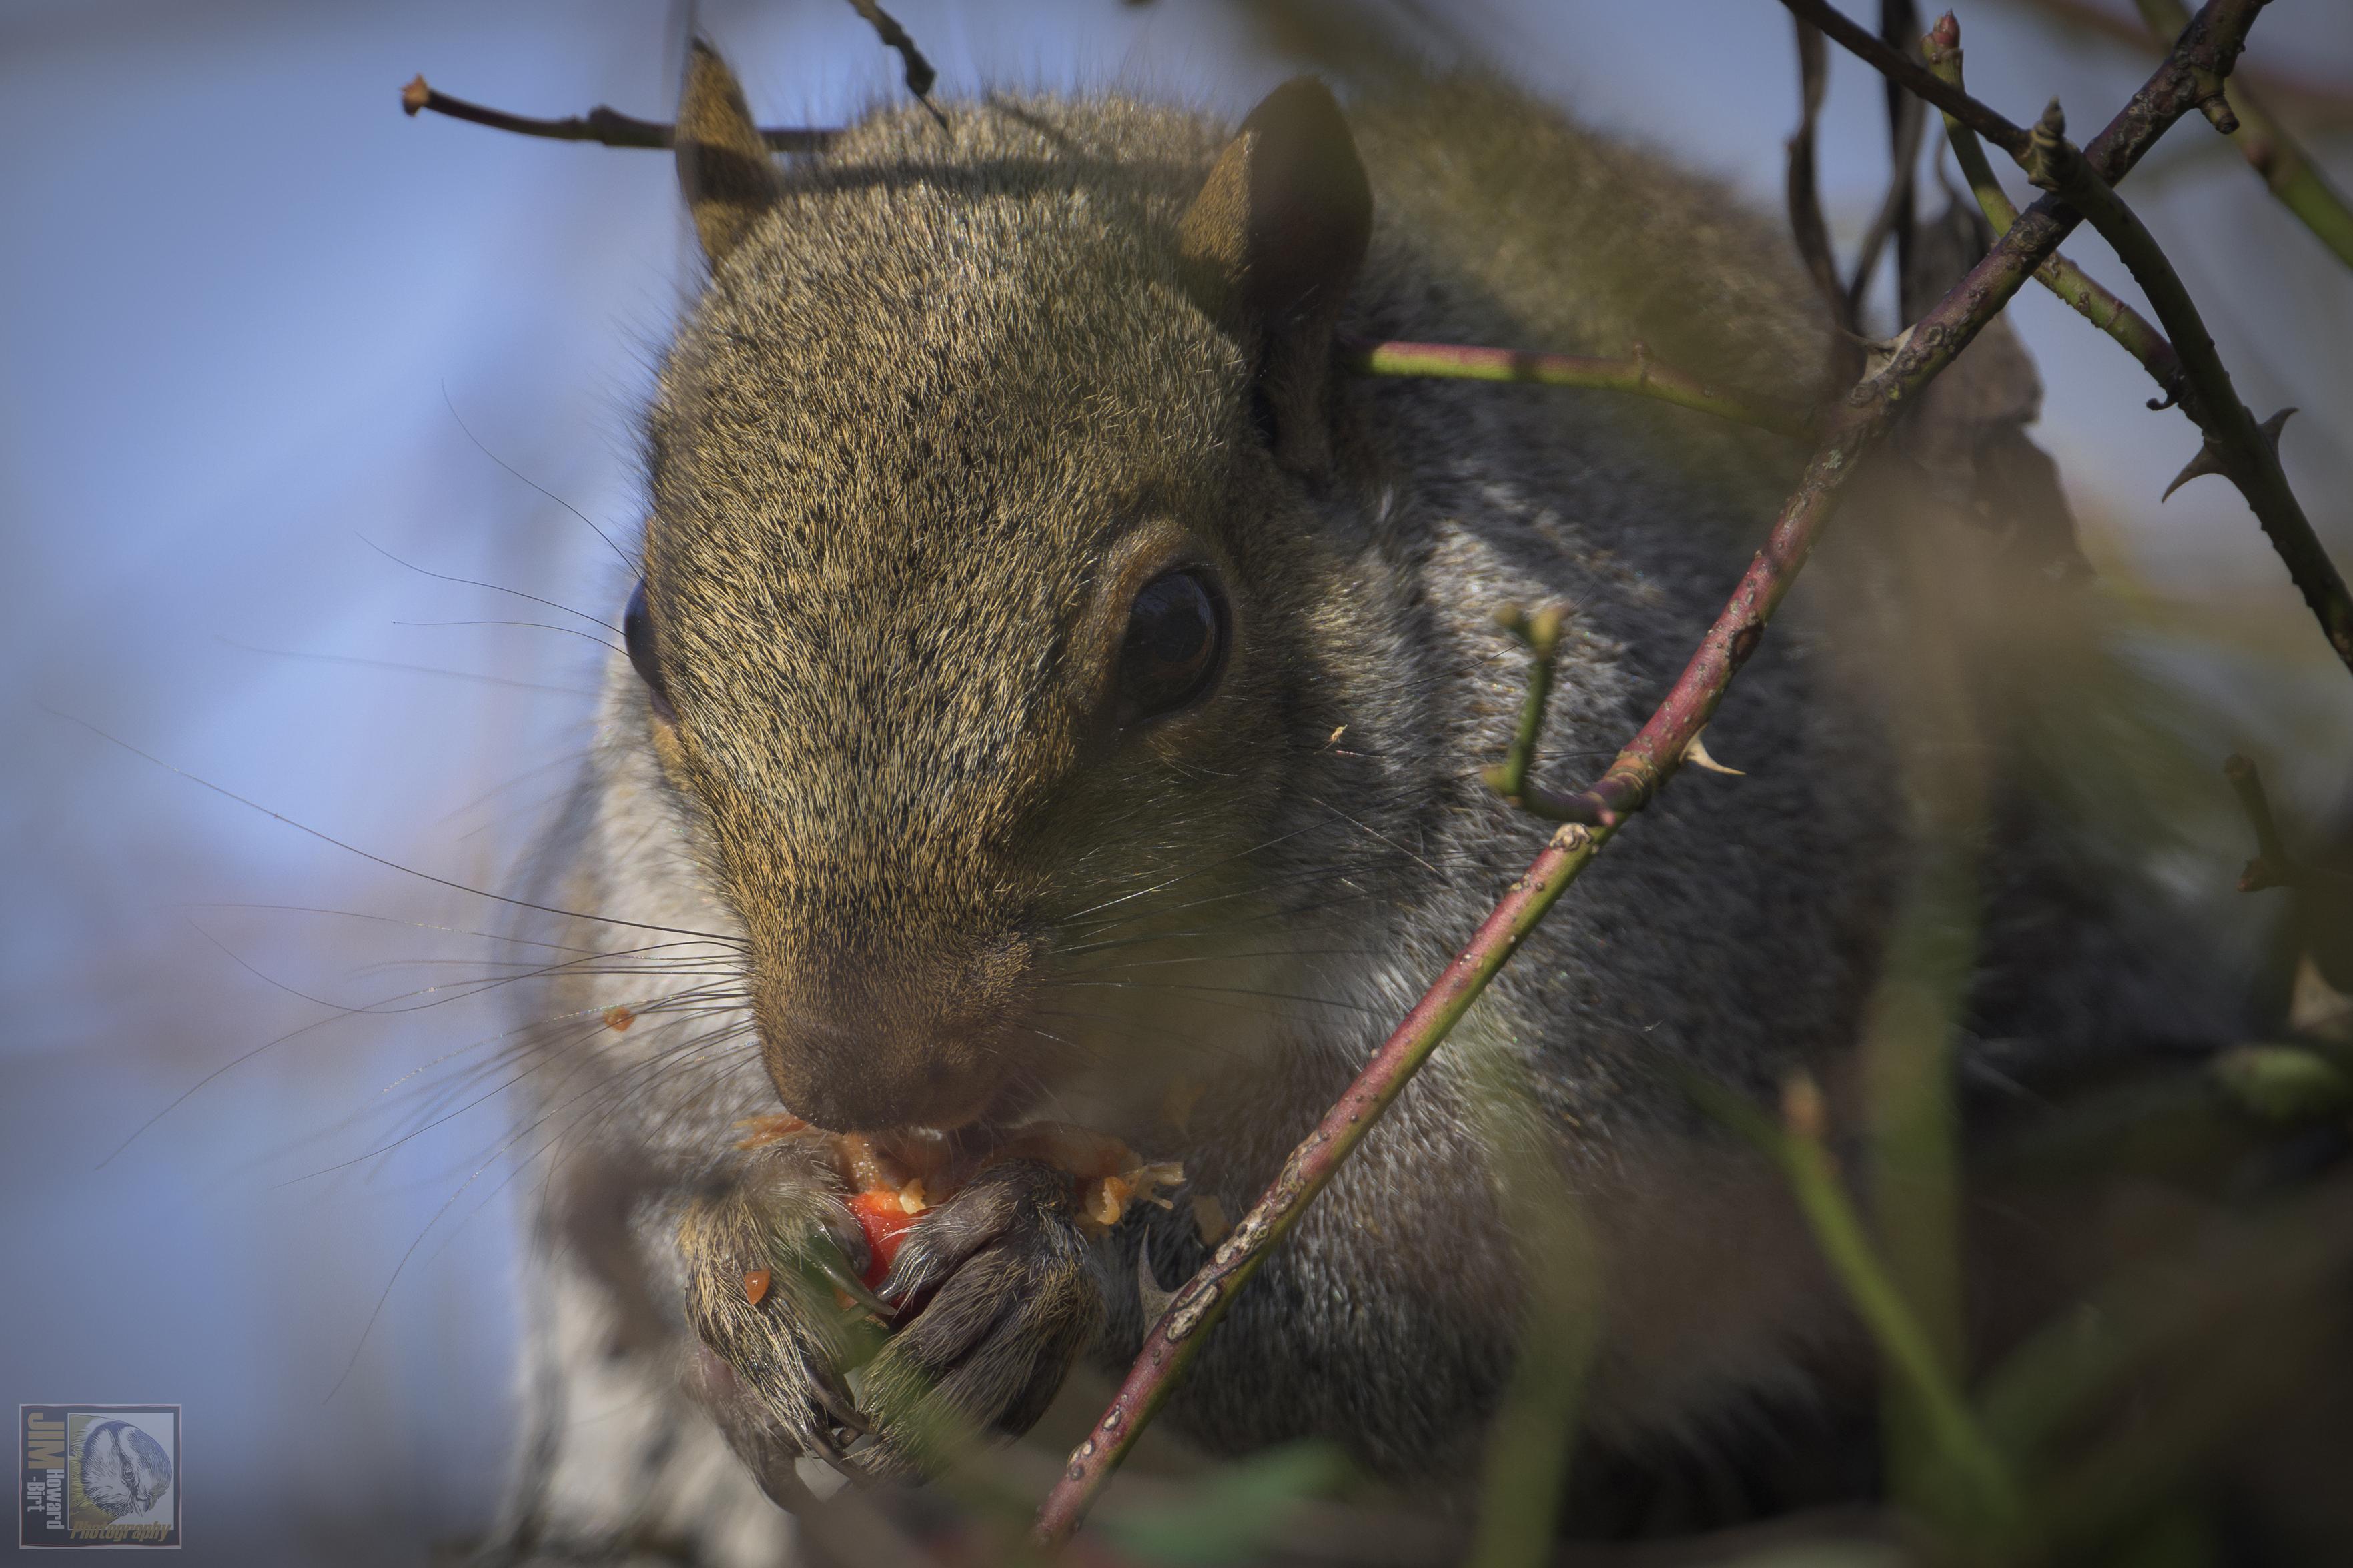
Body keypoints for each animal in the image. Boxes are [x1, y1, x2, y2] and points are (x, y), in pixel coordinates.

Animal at [472, 43, 2240, 1561]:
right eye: (641, 631)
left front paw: (1060, 1267)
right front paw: (736, 1240)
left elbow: (1498, 1246)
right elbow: (636, 1116)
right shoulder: (644, 913)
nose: (863, 1076)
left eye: (1177, 630)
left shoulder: (1627, 879)